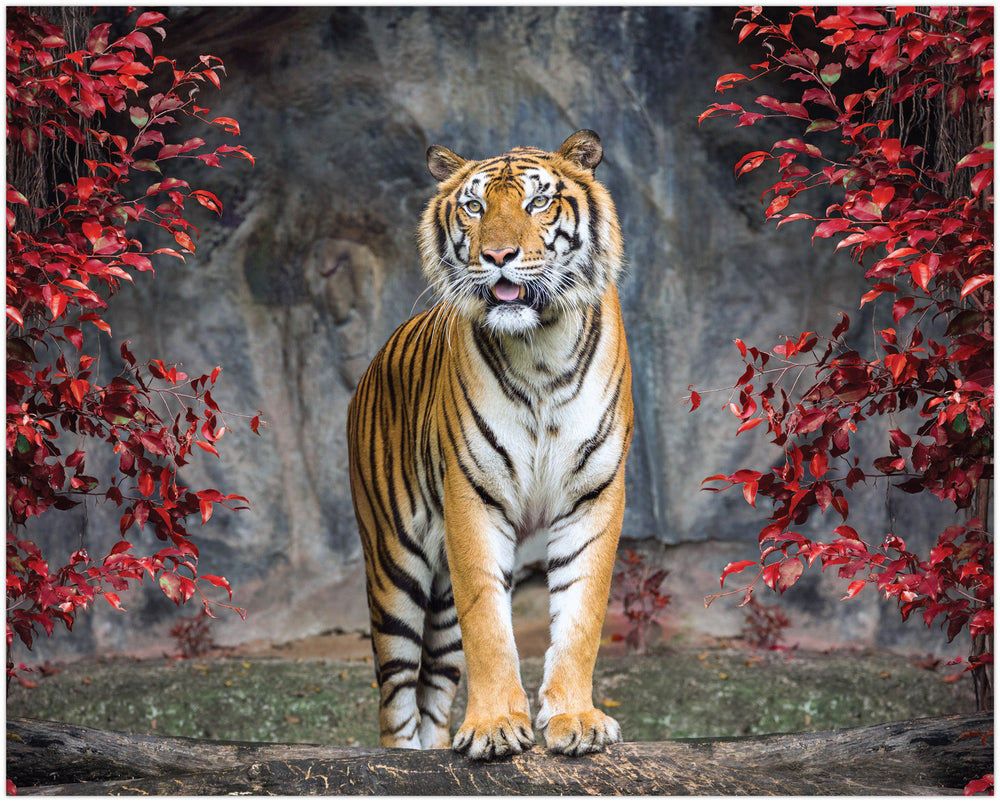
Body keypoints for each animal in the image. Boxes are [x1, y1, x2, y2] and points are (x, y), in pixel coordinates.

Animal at [347, 130, 633, 760]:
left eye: (537, 202)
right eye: (475, 207)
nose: (498, 255)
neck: (541, 349)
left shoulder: (593, 494)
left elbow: (580, 616)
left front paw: (576, 719)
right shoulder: (472, 497)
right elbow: (490, 626)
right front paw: (497, 725)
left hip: (439, 604)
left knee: (432, 691)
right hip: (394, 566)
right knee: (396, 698)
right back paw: (401, 760)